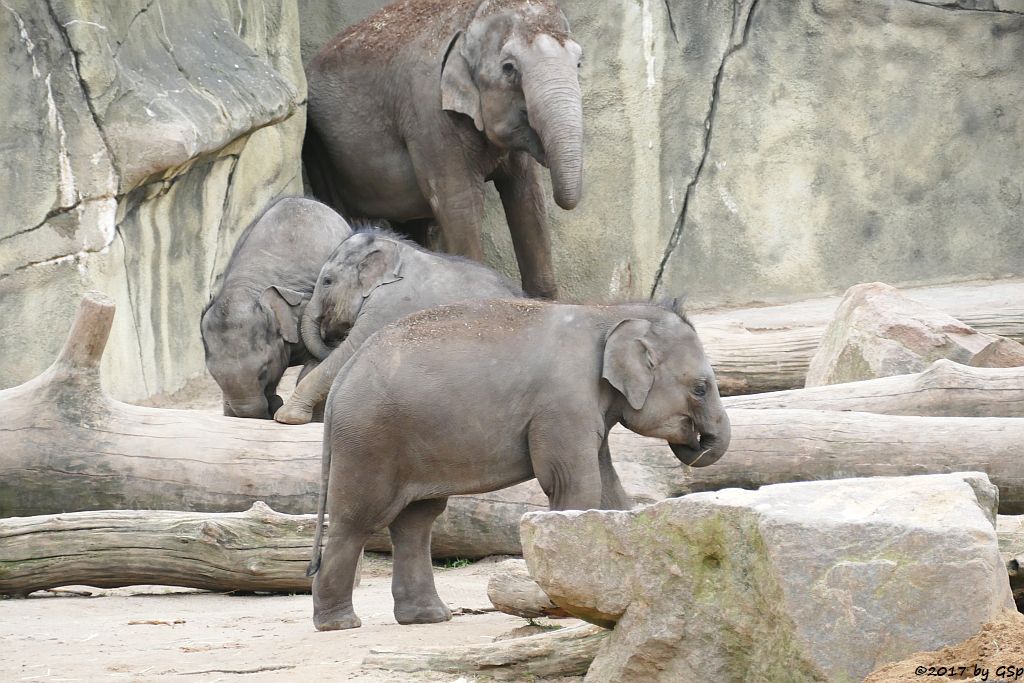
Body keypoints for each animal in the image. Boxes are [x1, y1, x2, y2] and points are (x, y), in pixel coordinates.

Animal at [301, 0, 585, 299]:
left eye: (579, 62)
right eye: (509, 68)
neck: (470, 16)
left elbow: (527, 196)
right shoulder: (430, 114)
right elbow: (460, 203)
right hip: (317, 148)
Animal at [307, 301, 733, 634]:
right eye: (700, 388)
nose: (696, 441)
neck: (609, 313)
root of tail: (341, 378)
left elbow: (607, 489)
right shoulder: (563, 404)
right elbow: (575, 484)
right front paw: (565, 604)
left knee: (416, 520)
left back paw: (428, 617)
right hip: (369, 440)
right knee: (358, 520)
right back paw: (339, 623)